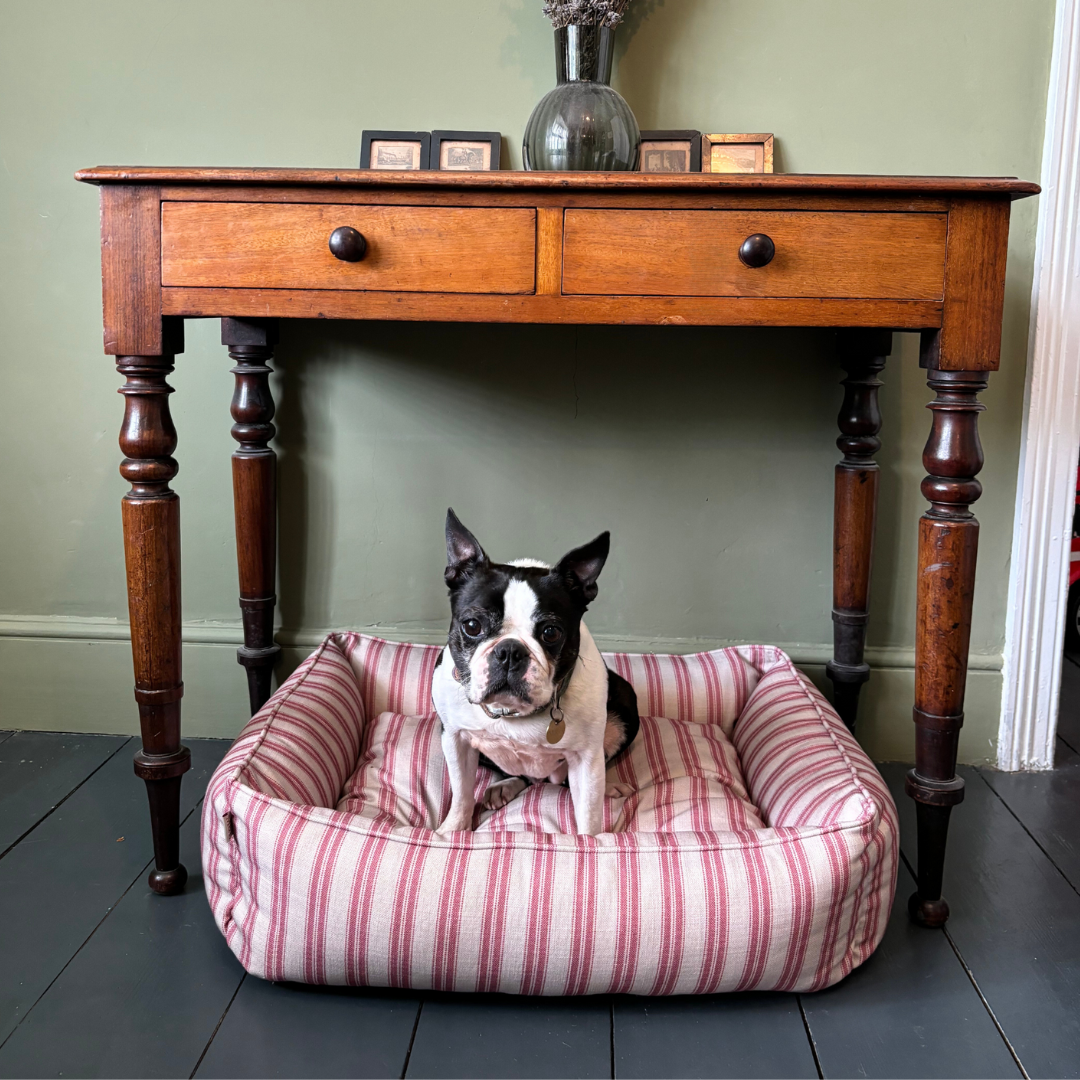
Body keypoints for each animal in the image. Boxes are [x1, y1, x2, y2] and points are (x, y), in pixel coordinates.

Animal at [432, 507, 639, 833]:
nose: (509, 651)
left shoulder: (586, 758)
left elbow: (589, 816)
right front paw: (451, 832)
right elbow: (462, 793)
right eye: (472, 625)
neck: (513, 714)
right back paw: (503, 786)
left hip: (626, 704)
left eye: (551, 632)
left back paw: (611, 785)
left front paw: (592, 842)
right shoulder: (455, 738)